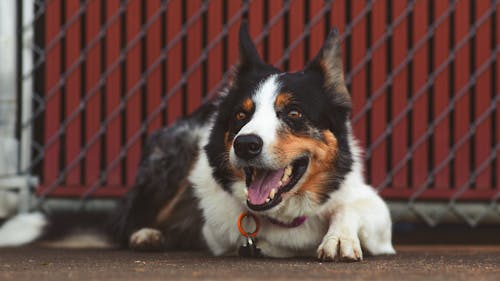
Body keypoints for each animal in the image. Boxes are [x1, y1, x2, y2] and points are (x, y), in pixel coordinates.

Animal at [111, 22, 396, 260]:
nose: (245, 144)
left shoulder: (375, 210)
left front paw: (339, 238)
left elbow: (348, 207)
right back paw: (147, 234)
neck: (285, 214)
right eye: (241, 115)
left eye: (294, 113)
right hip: (177, 151)